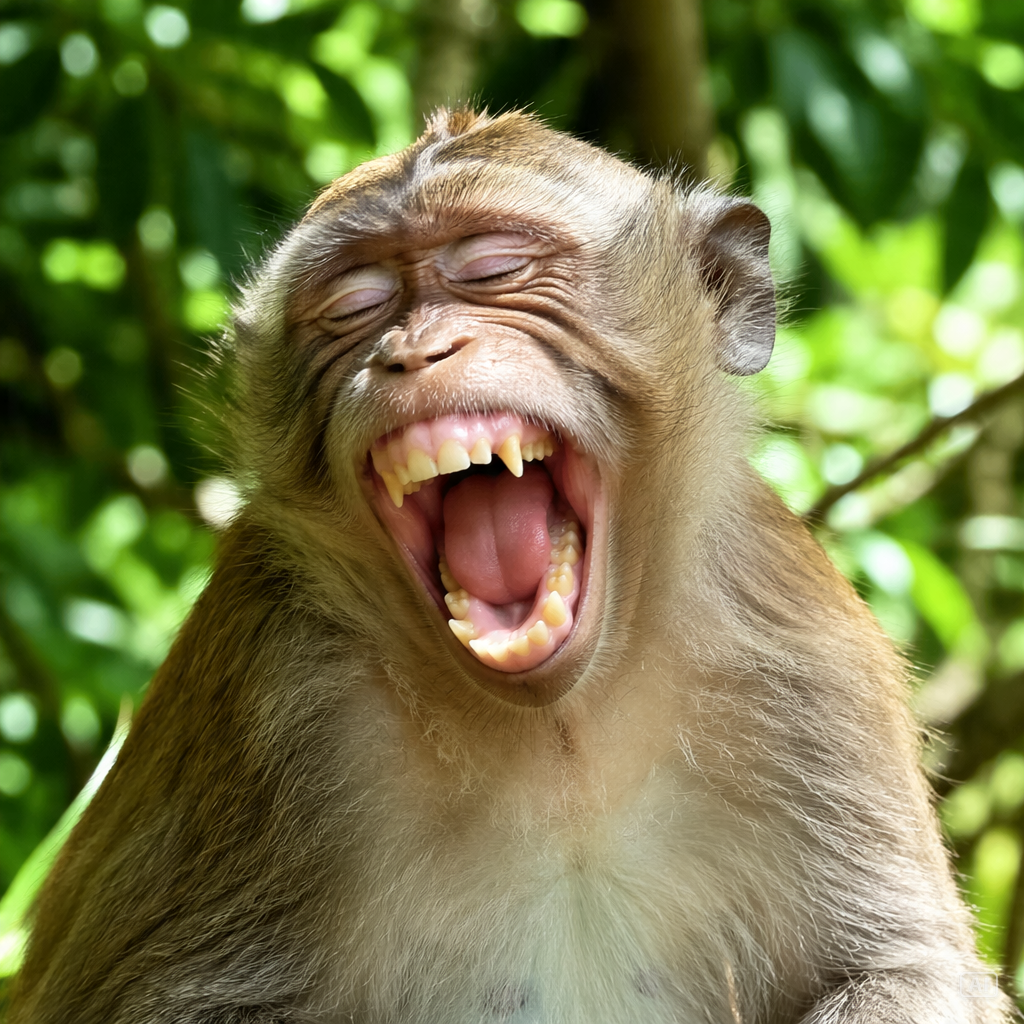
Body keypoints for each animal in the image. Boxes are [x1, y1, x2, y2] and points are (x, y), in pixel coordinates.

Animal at [7, 109, 1014, 1024]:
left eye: (494, 269)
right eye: (352, 308)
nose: (414, 351)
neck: (559, 734)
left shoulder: (801, 659)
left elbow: (901, 967)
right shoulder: (262, 691)